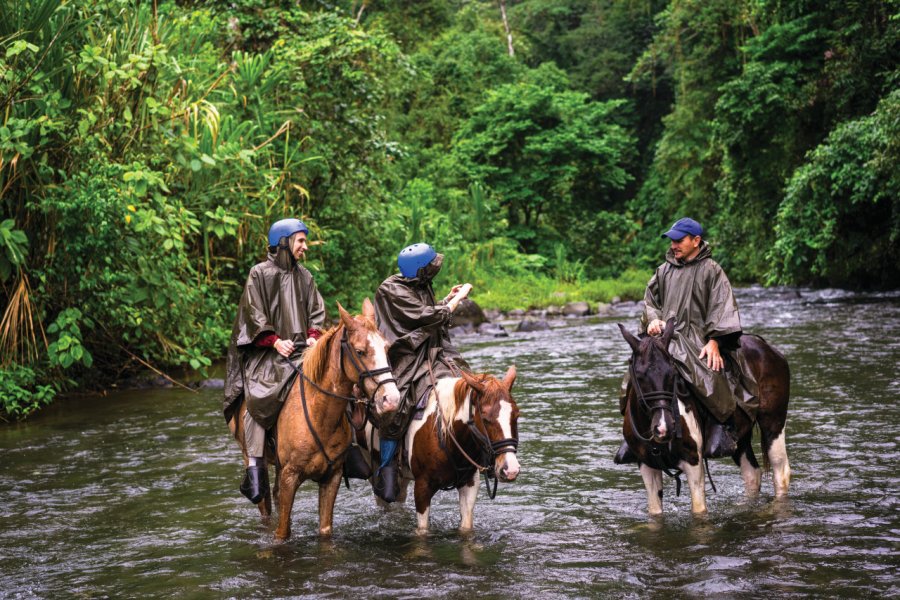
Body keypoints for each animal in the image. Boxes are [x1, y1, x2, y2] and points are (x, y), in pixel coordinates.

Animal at [230, 298, 400, 540]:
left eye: (386, 347)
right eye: (360, 351)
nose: (391, 399)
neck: (319, 414)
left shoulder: (332, 477)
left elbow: (325, 530)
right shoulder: (290, 476)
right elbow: (282, 532)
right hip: (251, 455)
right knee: (264, 502)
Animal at [620, 318, 788, 516]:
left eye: (673, 373)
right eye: (639, 376)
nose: (664, 428)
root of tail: (768, 348)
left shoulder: (693, 462)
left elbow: (699, 511)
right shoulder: (647, 465)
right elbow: (655, 513)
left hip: (773, 425)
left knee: (780, 472)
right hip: (740, 438)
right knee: (752, 474)